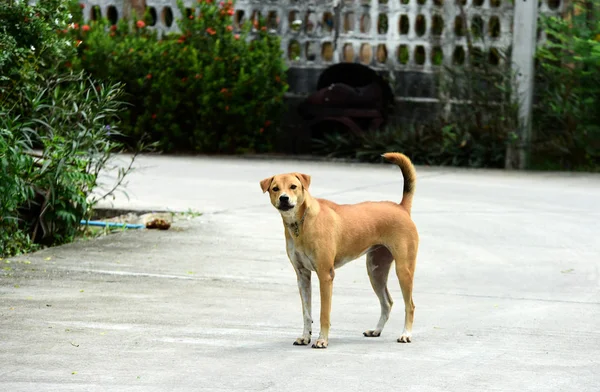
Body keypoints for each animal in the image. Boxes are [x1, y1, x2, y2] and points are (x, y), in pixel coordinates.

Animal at [260, 152, 420, 348]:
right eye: (275, 188)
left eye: (293, 187)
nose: (284, 198)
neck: (302, 222)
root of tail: (401, 207)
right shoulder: (302, 276)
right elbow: (307, 313)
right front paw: (305, 337)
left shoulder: (325, 275)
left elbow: (324, 313)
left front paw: (322, 340)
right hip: (376, 270)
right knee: (387, 303)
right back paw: (376, 330)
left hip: (403, 269)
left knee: (410, 305)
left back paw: (406, 334)